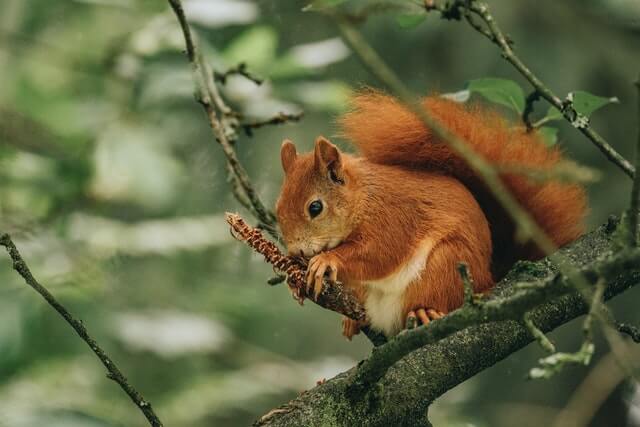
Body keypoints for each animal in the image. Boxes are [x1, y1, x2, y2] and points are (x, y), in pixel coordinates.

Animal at [274, 92, 584, 340]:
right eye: (277, 209)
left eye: (315, 207)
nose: (296, 251)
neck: (363, 199)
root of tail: (489, 277)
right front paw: (293, 276)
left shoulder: (394, 217)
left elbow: (380, 253)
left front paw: (326, 260)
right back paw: (353, 320)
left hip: (447, 265)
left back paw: (425, 311)